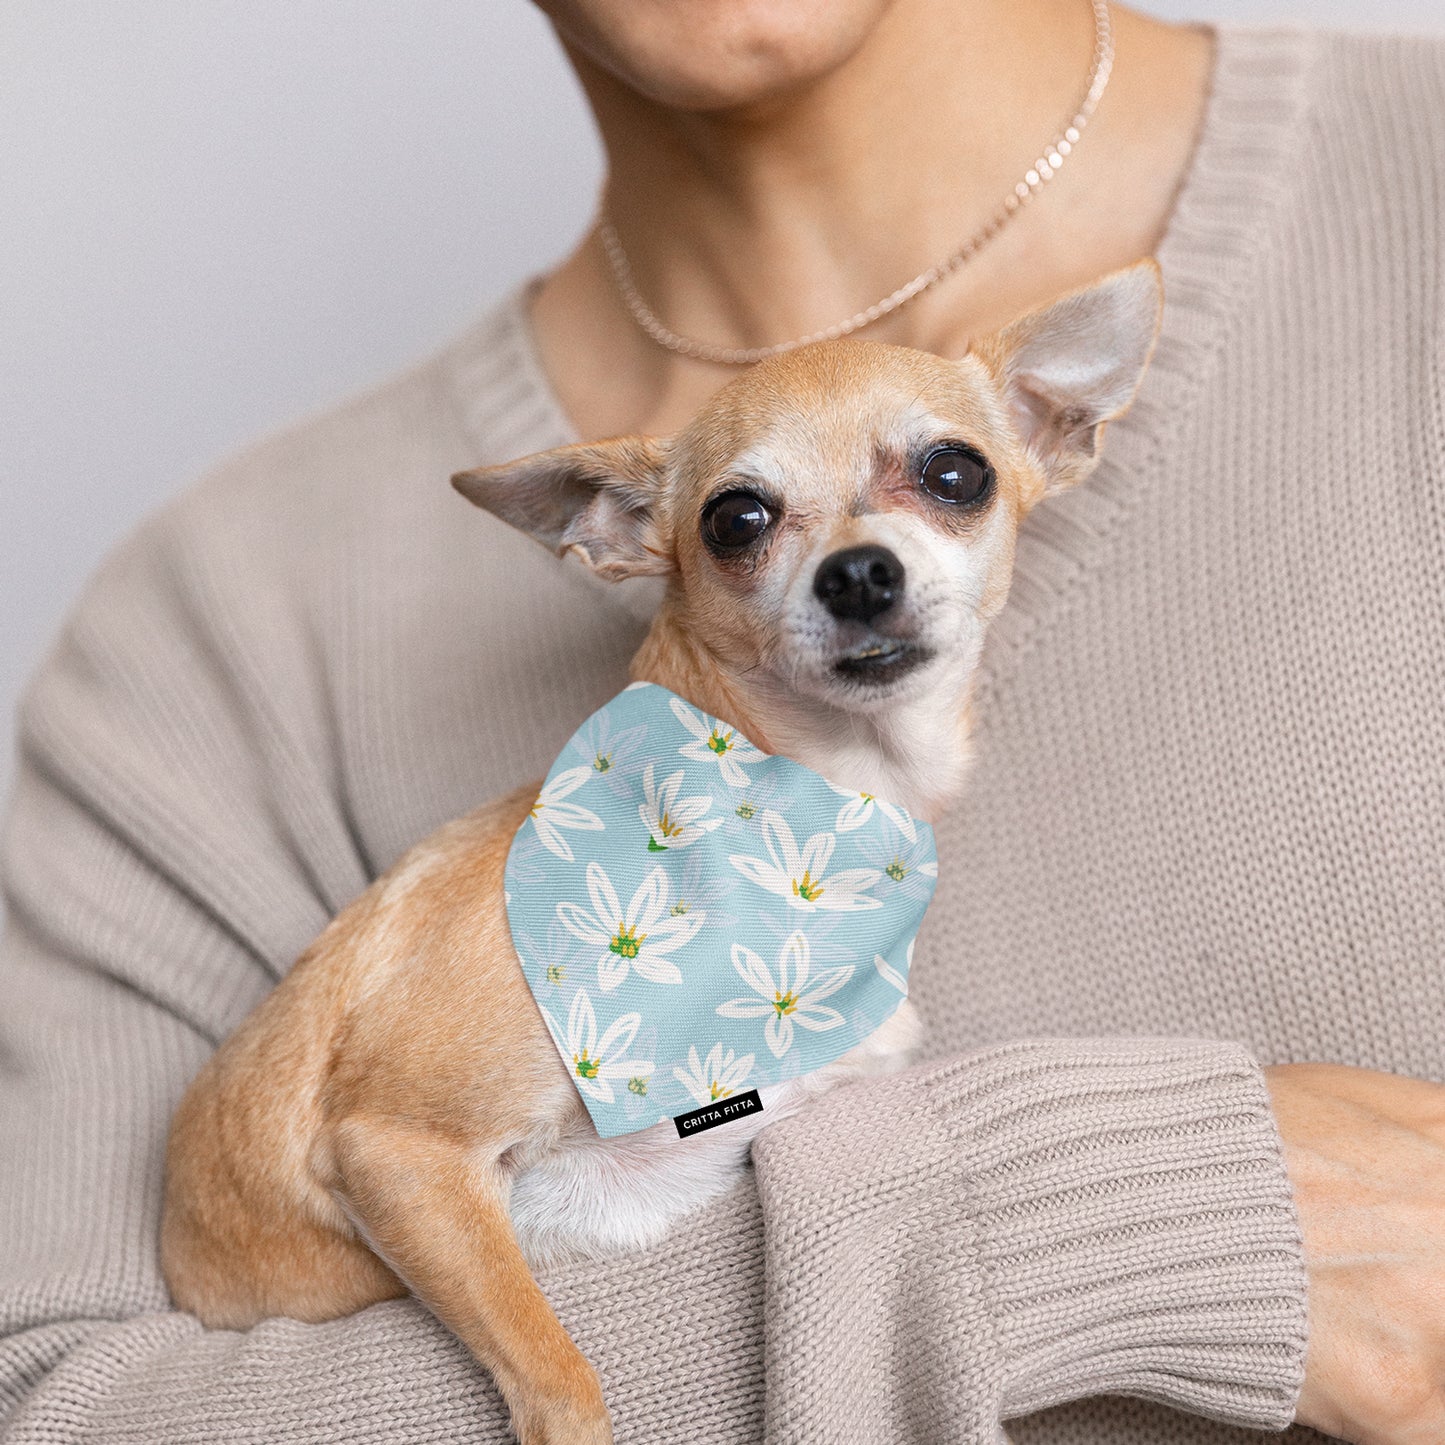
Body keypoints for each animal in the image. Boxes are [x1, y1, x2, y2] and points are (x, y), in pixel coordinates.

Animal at [161, 260, 1161, 1445]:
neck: (798, 808)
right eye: (735, 518)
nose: (856, 573)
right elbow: (557, 1372)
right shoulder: (396, 1151)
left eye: (954, 472)